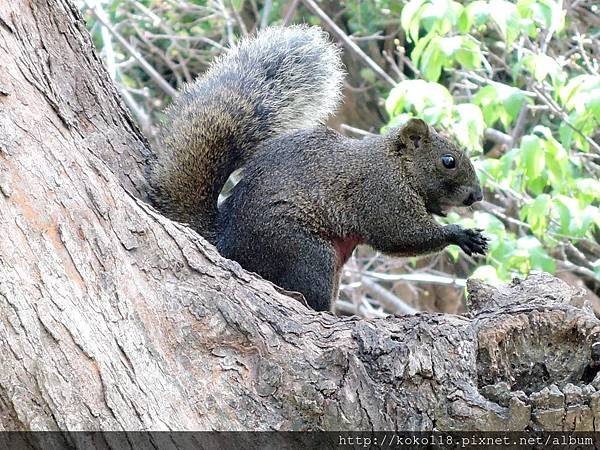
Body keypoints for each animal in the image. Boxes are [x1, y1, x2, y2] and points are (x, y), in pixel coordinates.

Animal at [151, 24, 488, 312]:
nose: (478, 196)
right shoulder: (381, 193)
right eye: (448, 161)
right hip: (306, 253)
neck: (397, 165)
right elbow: (401, 235)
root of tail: (226, 243)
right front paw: (462, 235)